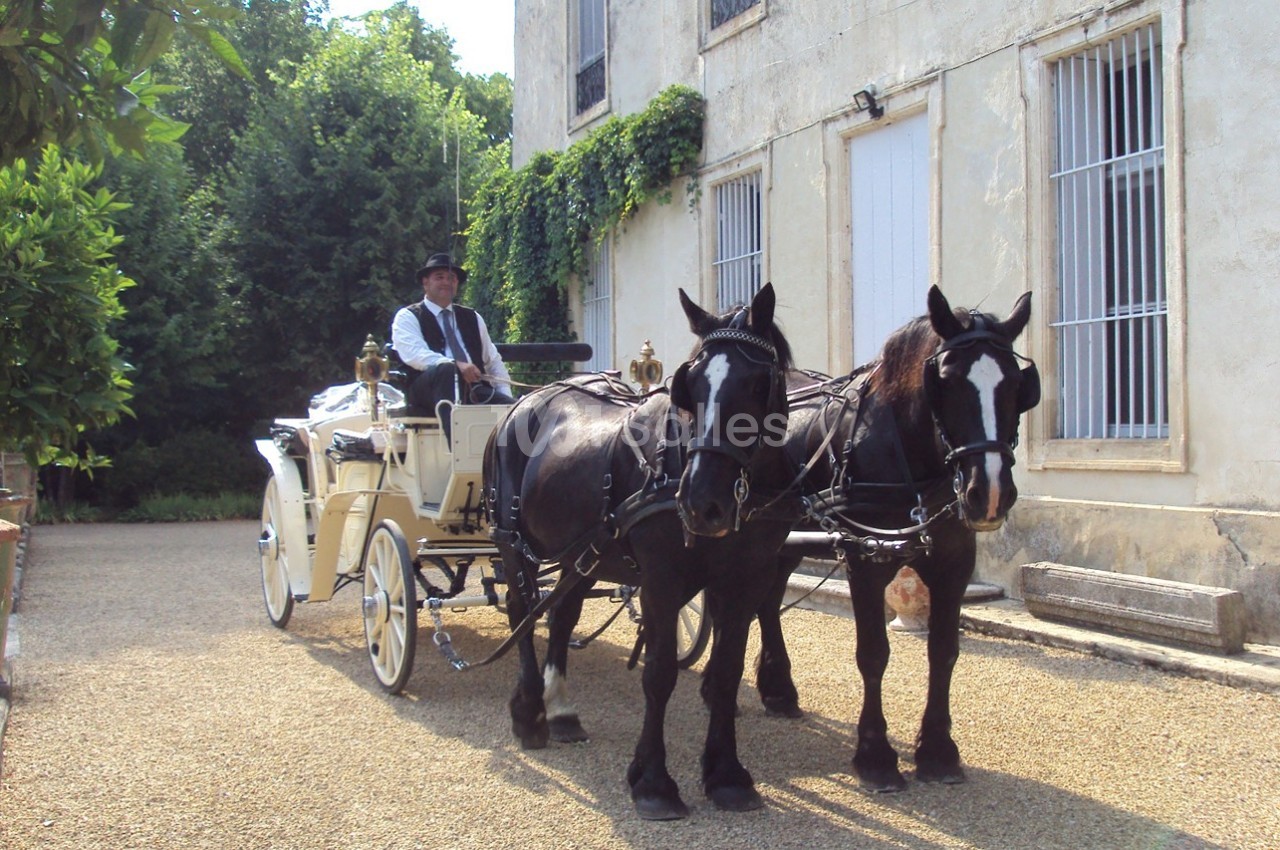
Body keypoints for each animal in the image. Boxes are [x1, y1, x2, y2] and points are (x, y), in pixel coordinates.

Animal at [483, 283, 797, 820]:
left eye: (759, 382)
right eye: (692, 383)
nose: (702, 502)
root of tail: (526, 402)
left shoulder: (743, 580)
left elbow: (726, 672)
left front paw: (726, 776)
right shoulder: (660, 581)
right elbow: (659, 673)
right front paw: (653, 781)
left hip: (585, 554)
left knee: (562, 614)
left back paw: (560, 709)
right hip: (514, 544)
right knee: (522, 609)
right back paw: (529, 713)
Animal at [753, 285, 1040, 791]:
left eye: (1014, 384)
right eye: (945, 382)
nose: (989, 493)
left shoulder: (954, 564)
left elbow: (944, 652)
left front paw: (938, 751)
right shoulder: (864, 560)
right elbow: (873, 654)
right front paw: (875, 755)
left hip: (784, 537)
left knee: (767, 602)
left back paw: (778, 689)